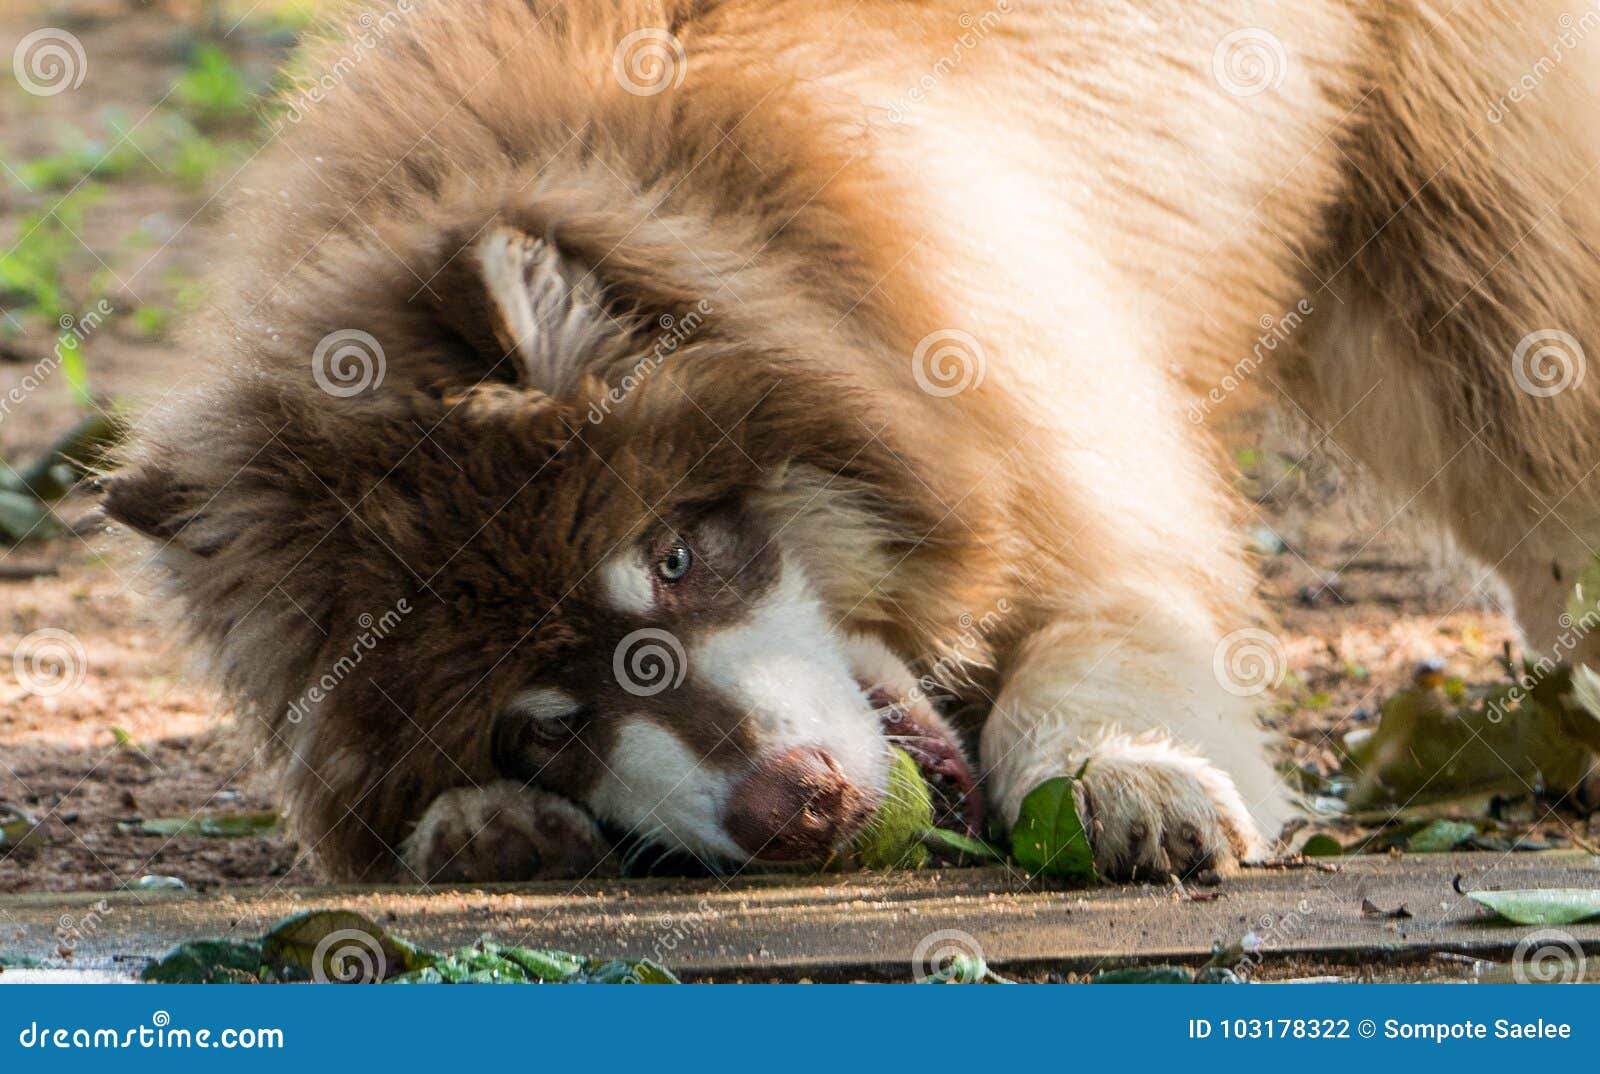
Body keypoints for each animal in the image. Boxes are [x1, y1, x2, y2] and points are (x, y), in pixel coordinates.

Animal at [103, 0, 1600, 883]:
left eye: (678, 559)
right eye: (539, 722)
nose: (798, 807)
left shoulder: (1055, 436)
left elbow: (1106, 631)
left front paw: (1118, 773)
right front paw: (480, 827)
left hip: (1456, 201)